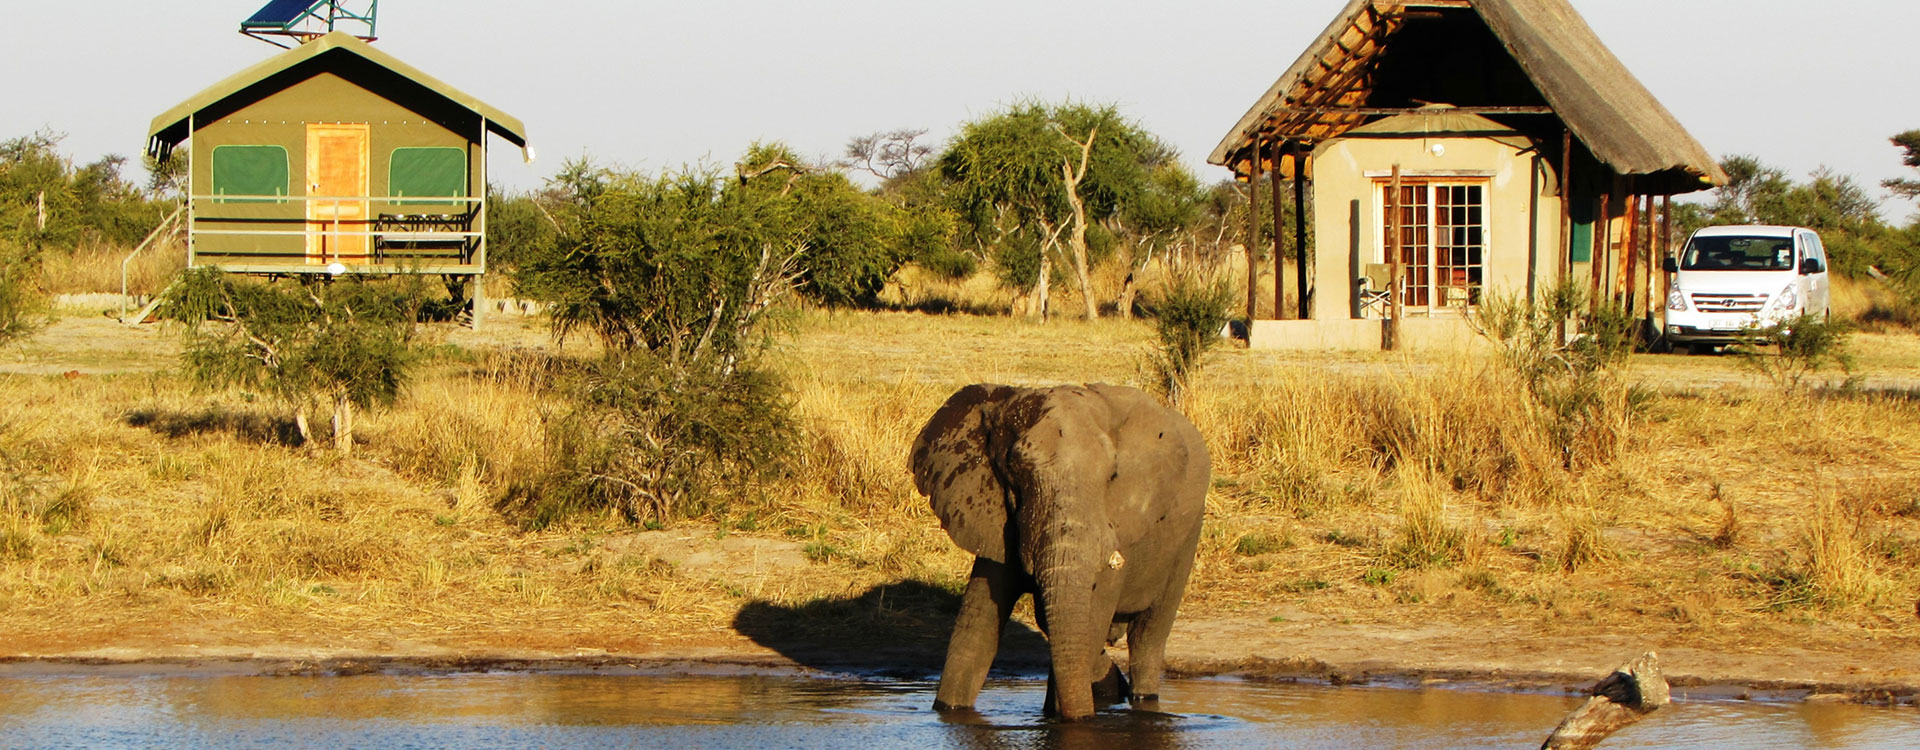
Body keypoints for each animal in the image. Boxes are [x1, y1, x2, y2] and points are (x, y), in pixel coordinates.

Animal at [910, 382, 1210, 721]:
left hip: (1188, 534)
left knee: (1148, 636)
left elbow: (1091, 623)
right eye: (1015, 474)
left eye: (1112, 476)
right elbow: (974, 633)